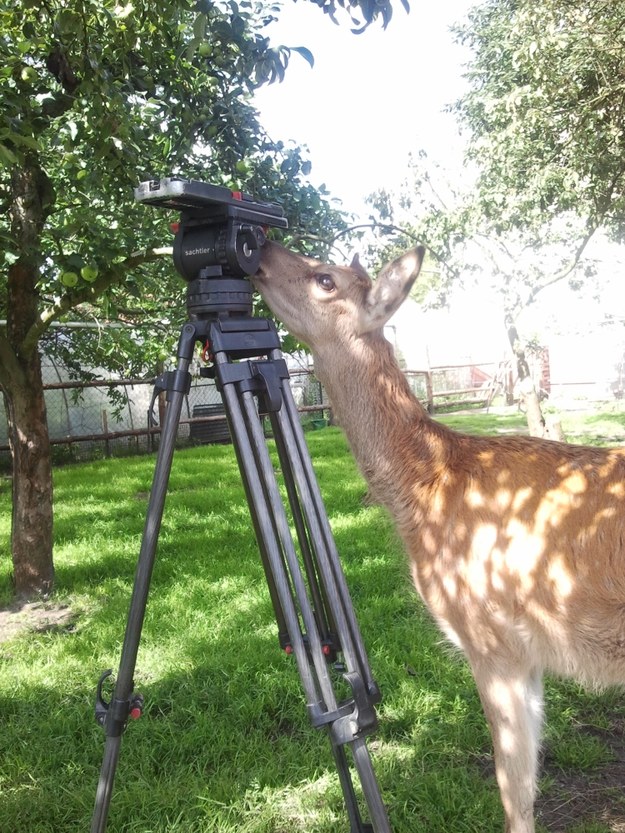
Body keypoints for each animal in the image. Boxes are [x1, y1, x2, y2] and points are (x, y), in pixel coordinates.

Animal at [250, 237, 625, 828]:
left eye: (325, 278)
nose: (260, 247)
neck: (428, 485)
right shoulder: (527, 652)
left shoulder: (490, 636)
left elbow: (512, 786)